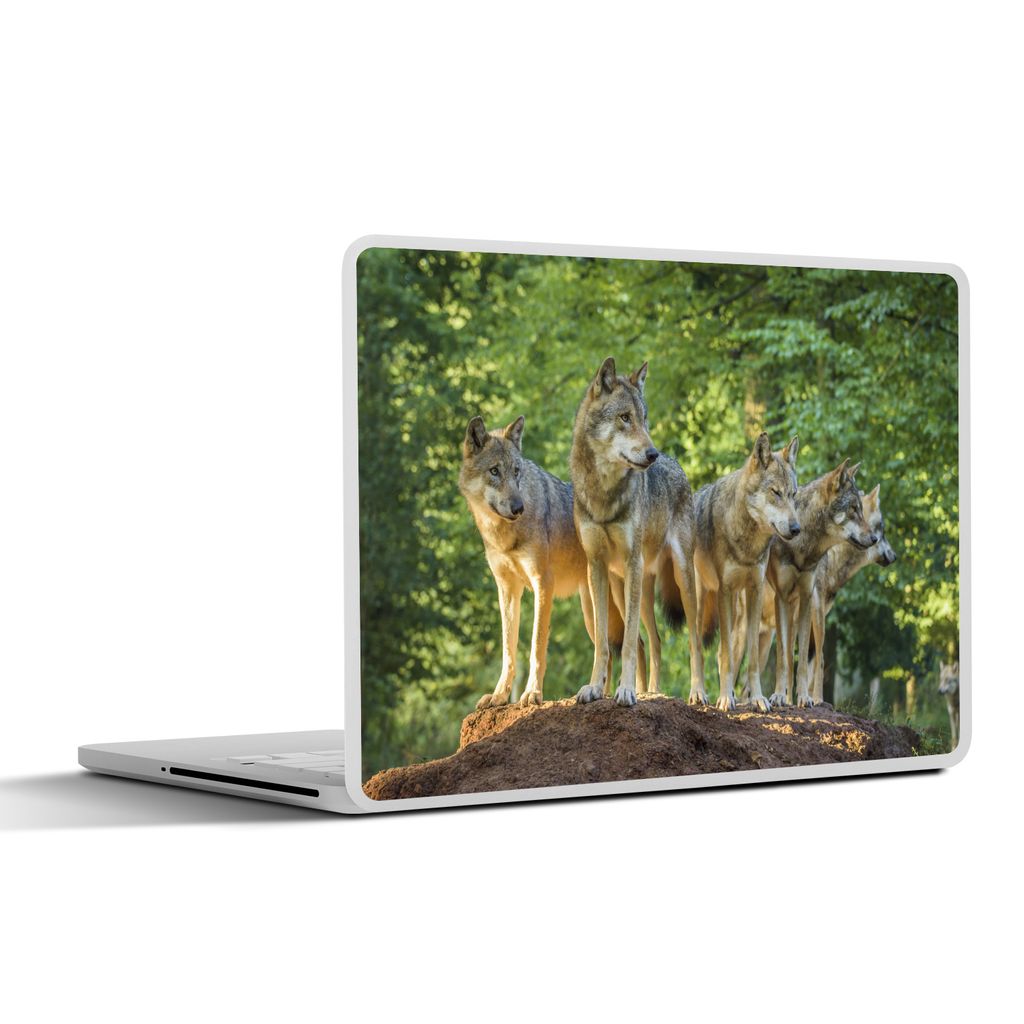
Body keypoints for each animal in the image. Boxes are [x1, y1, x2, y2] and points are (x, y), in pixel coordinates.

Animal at [459, 414, 643, 709]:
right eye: (494, 471)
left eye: (516, 471)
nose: (518, 507)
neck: (504, 534)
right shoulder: (507, 590)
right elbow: (508, 651)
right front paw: (499, 696)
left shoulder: (542, 583)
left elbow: (536, 646)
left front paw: (532, 693)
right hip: (593, 612)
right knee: (609, 651)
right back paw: (599, 692)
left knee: (638, 644)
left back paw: (637, 692)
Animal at [569, 357, 705, 707]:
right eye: (624, 418)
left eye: (644, 419)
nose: (652, 454)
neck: (604, 494)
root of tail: (676, 464)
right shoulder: (596, 567)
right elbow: (603, 642)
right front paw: (596, 687)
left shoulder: (632, 561)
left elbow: (628, 642)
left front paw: (627, 691)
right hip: (629, 588)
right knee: (652, 642)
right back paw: (651, 691)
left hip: (679, 578)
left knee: (693, 639)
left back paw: (696, 691)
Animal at [693, 433, 800, 712]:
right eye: (776, 493)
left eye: (793, 495)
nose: (796, 528)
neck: (749, 544)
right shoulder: (724, 590)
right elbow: (727, 656)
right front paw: (725, 699)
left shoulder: (755, 590)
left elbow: (751, 659)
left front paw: (758, 699)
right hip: (701, 599)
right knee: (699, 649)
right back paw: (698, 692)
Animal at [760, 459, 878, 708]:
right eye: (853, 509)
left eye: (861, 510)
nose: (874, 539)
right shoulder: (781, 597)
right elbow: (783, 657)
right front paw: (777, 695)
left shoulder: (805, 598)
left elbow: (803, 659)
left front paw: (803, 698)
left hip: (808, 614)